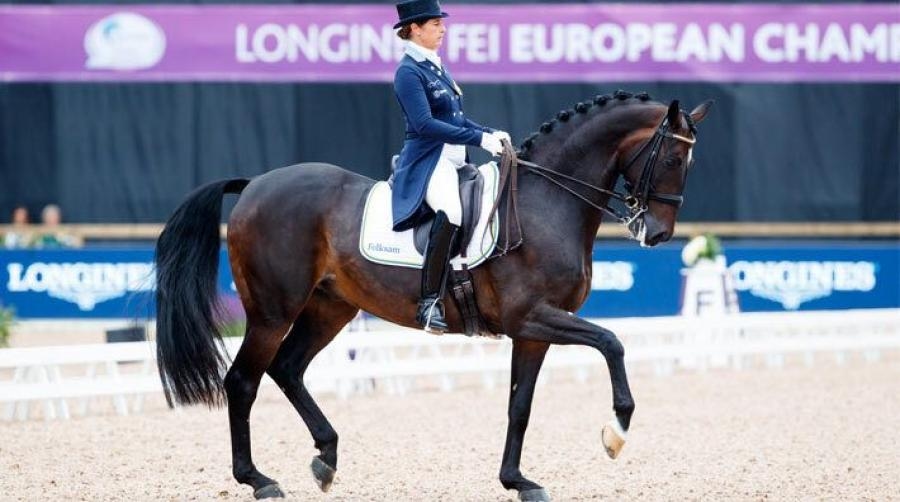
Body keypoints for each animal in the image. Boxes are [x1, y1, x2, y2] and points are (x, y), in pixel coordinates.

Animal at [155, 91, 712, 502]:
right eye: (671, 156)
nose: (658, 233)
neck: (547, 202)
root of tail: (255, 185)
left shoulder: (533, 331)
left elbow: (520, 405)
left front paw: (517, 481)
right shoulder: (532, 317)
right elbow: (613, 343)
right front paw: (616, 432)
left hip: (331, 308)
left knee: (287, 370)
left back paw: (326, 457)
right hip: (273, 312)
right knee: (243, 381)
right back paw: (258, 479)